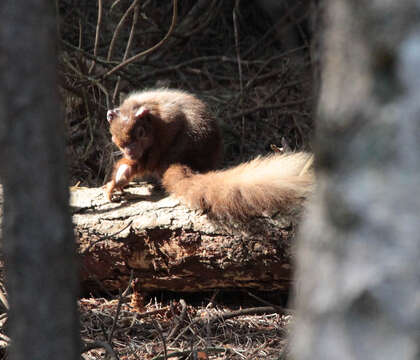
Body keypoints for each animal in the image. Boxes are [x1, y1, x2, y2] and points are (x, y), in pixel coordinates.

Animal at [106, 88, 314, 221]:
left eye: (140, 133)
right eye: (118, 140)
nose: (130, 151)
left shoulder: (168, 119)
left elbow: (170, 130)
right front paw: (118, 180)